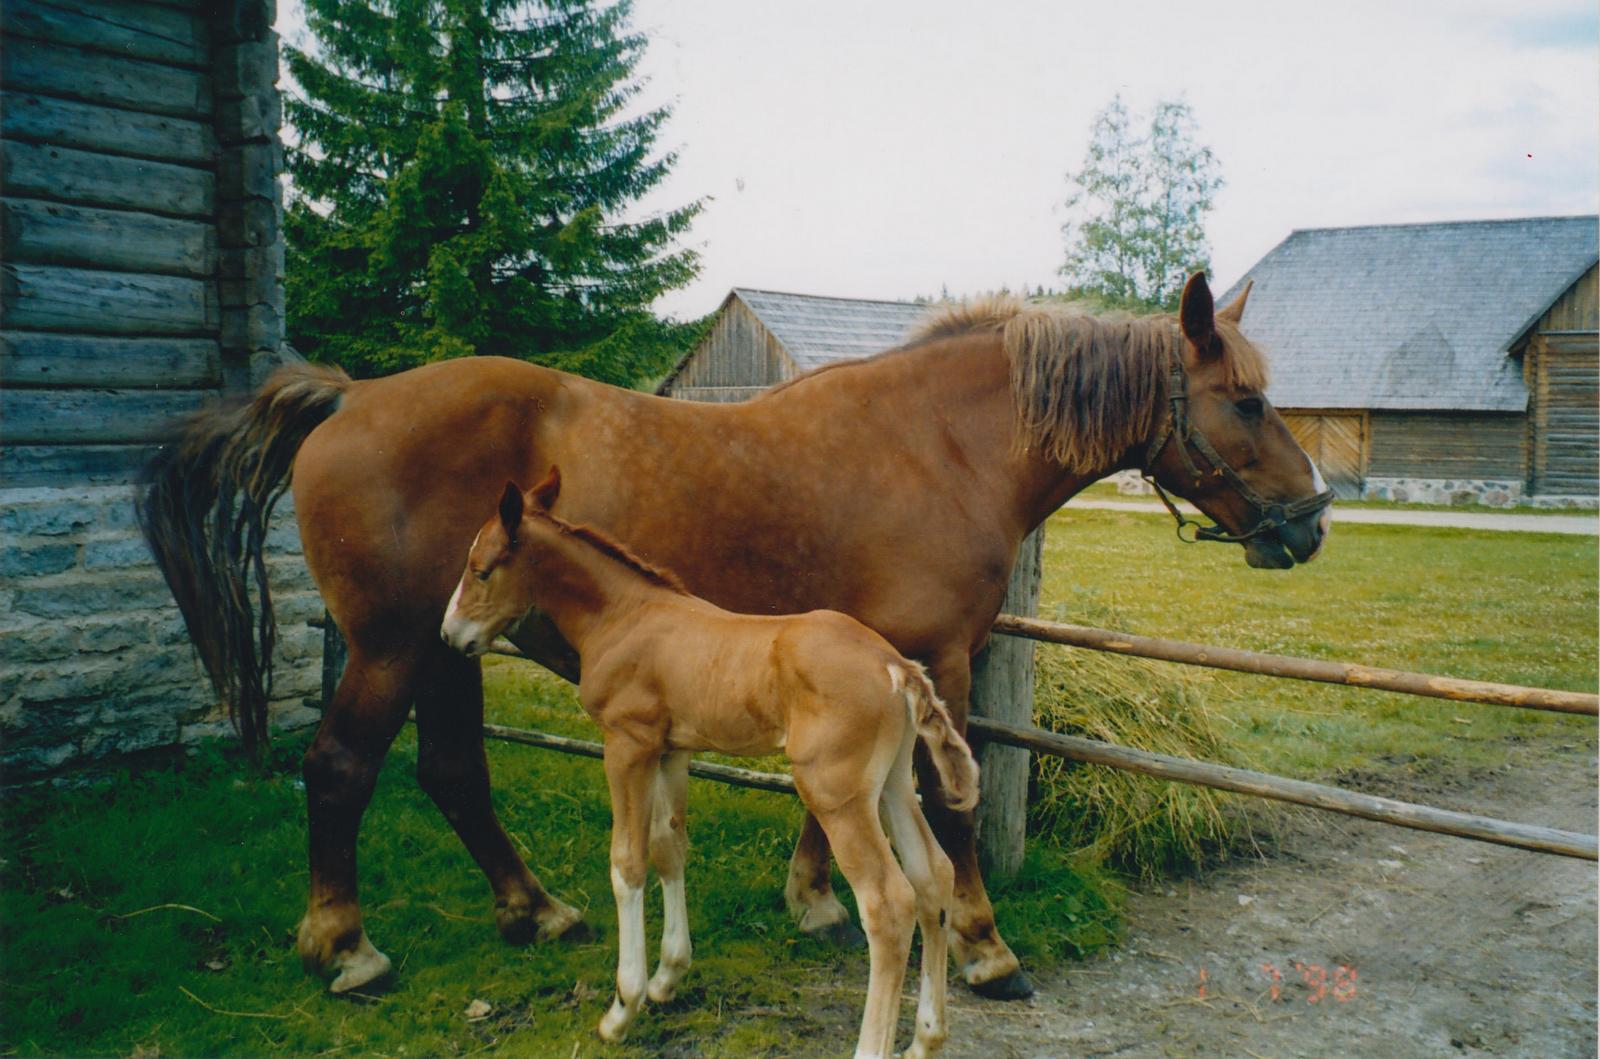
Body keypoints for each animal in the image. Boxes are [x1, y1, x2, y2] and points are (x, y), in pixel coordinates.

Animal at [444, 473, 979, 1059]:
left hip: (834, 792)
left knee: (888, 903)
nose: (450, 634)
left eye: (480, 569)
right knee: (933, 876)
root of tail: (897, 667)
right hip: (892, 785)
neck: (623, 615)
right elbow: (668, 847)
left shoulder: (626, 743)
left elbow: (627, 862)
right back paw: (926, 1038)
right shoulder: (672, 750)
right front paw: (667, 978)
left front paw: (622, 1009)